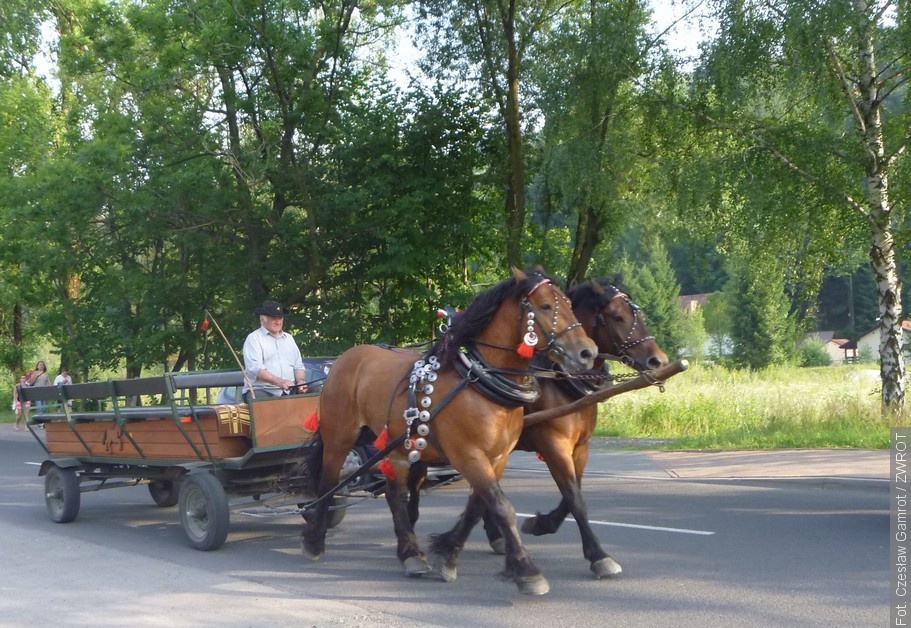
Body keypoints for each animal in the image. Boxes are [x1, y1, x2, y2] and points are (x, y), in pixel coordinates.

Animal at [300, 268, 600, 596]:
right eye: (545, 306)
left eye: (570, 304)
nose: (587, 352)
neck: (480, 382)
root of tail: (344, 358)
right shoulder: (469, 454)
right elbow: (502, 506)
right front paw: (526, 570)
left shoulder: (498, 458)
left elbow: (479, 505)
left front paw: (448, 553)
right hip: (340, 437)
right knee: (329, 481)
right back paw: (315, 541)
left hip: (400, 446)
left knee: (395, 493)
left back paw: (410, 553)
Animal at [434, 278, 668, 580]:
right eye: (618, 317)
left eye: (640, 316)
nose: (658, 361)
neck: (560, 379)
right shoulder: (554, 445)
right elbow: (575, 499)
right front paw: (598, 555)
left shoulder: (579, 447)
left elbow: (573, 494)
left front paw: (540, 523)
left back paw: (495, 535)